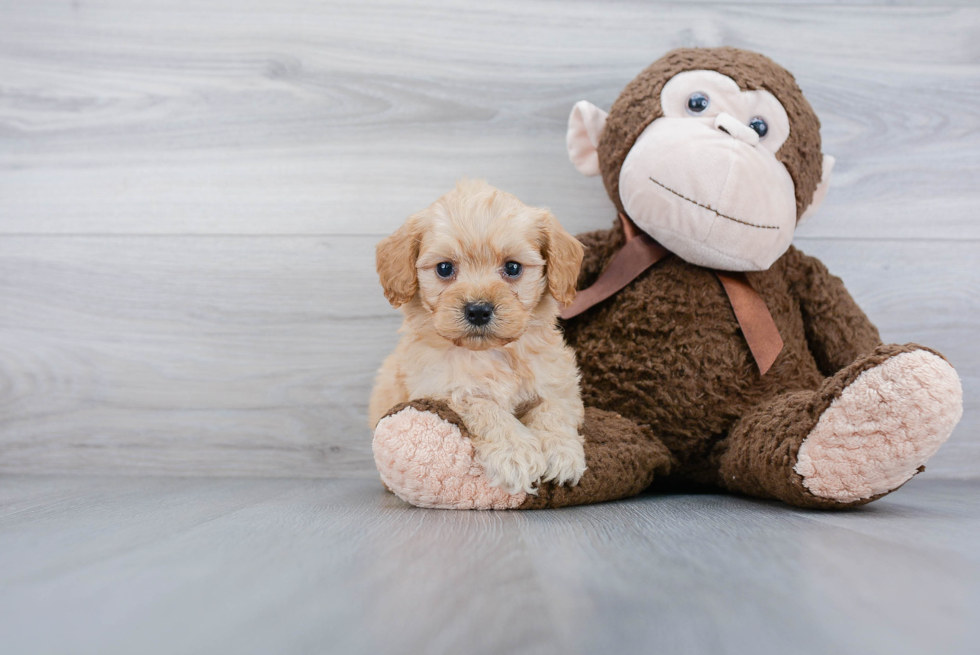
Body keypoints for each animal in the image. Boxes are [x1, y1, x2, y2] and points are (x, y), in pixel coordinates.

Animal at [366, 179, 580, 498]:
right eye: (444, 268)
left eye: (513, 267)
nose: (478, 310)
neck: (491, 353)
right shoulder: (444, 388)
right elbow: (487, 408)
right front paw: (515, 454)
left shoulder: (556, 379)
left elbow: (554, 409)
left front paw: (562, 452)